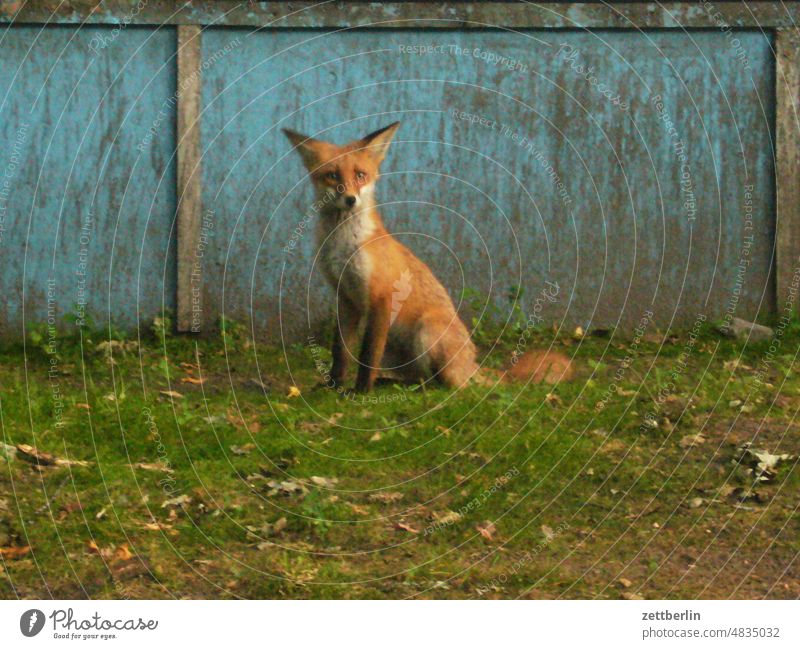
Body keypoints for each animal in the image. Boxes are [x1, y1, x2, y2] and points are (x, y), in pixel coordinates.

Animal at [284, 123, 572, 394]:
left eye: (360, 175)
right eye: (332, 176)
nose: (350, 199)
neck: (344, 245)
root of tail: (472, 364)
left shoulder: (381, 296)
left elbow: (367, 354)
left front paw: (361, 392)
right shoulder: (345, 297)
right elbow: (341, 352)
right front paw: (333, 386)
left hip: (427, 330)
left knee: (446, 384)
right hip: (396, 351)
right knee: (416, 376)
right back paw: (390, 383)